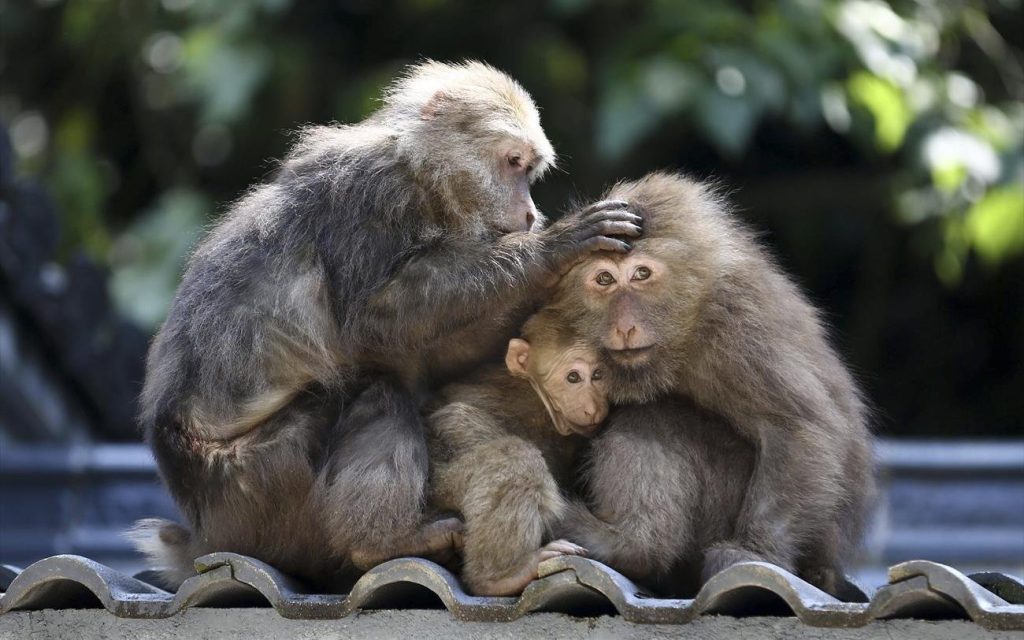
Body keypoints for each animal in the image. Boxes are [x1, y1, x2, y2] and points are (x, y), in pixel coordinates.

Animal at [425, 307, 606, 598]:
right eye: (573, 377)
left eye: (599, 375)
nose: (592, 407)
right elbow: (453, 418)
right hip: (438, 489)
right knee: (515, 458)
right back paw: (497, 578)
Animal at [548, 172, 876, 598]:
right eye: (604, 279)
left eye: (641, 274)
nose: (624, 327)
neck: (683, 329)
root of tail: (830, 568)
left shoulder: (737, 326)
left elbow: (798, 426)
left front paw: (755, 553)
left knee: (651, 416)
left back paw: (629, 545)